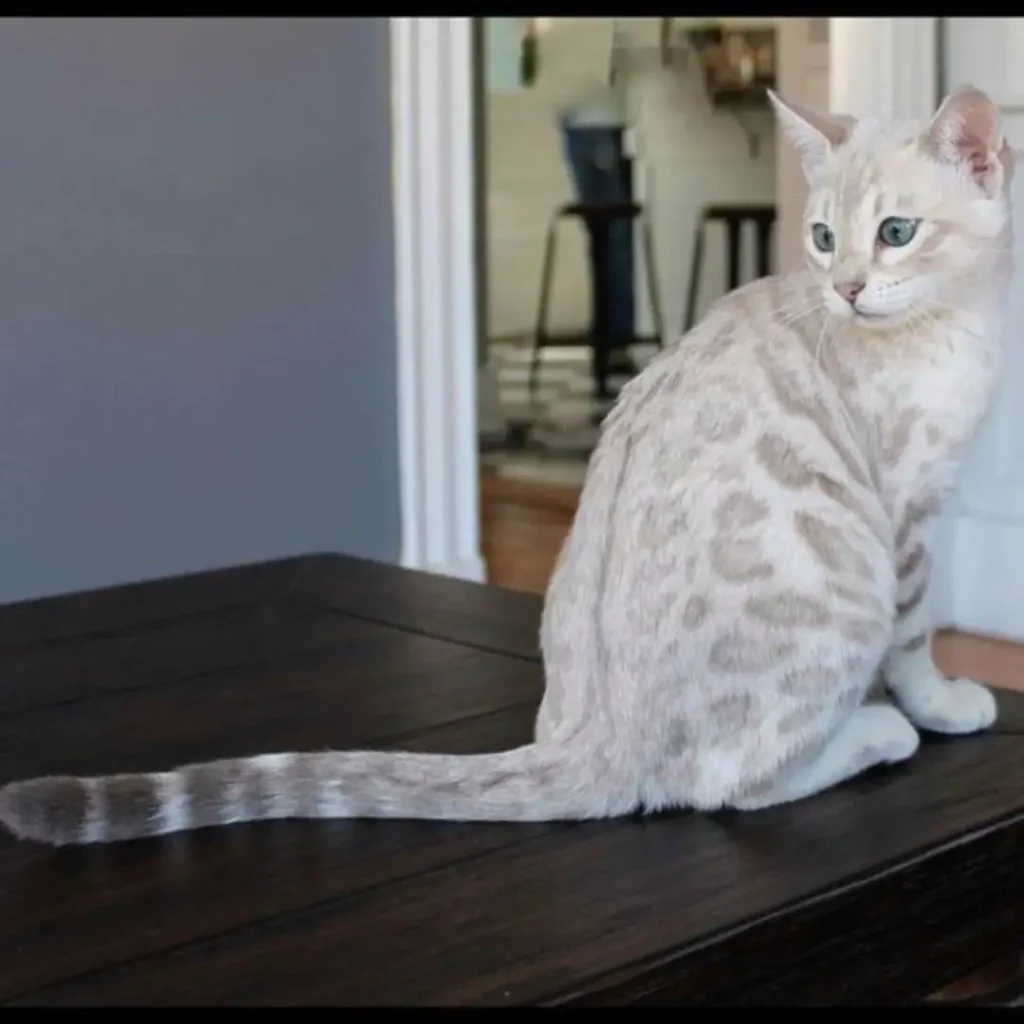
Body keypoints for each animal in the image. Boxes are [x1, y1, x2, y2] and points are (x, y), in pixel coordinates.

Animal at [0, 83, 1015, 843]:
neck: (957, 325)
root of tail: (589, 739)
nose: (846, 290)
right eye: (822, 238)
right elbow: (916, 642)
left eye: (894, 233)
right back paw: (874, 732)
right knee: (731, 783)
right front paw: (942, 706)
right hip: (845, 589)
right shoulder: (909, 518)